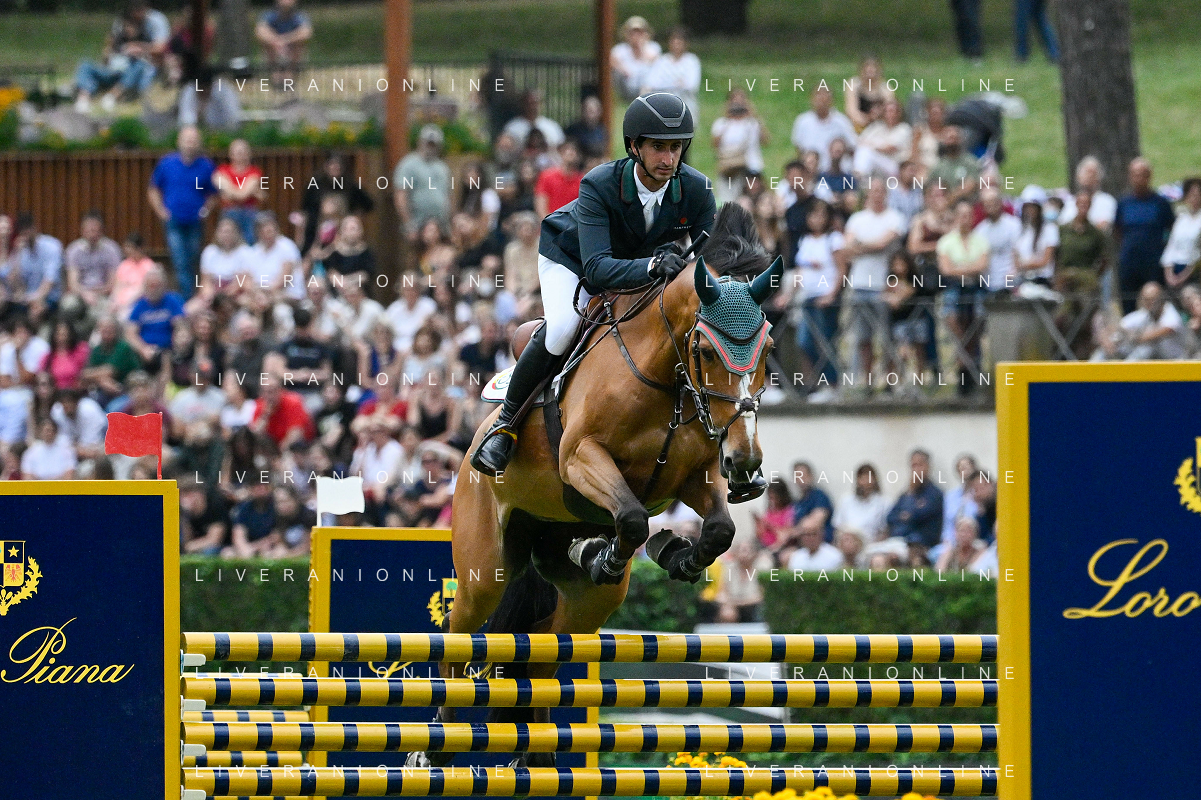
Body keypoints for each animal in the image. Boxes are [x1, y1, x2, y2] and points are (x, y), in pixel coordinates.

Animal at [408, 202, 785, 769]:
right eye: (704, 349)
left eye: (767, 348)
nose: (745, 461)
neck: (665, 374)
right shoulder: (581, 458)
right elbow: (630, 516)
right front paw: (615, 550)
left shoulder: (690, 477)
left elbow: (718, 529)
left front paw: (675, 554)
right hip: (484, 570)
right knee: (460, 638)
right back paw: (435, 750)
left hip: (587, 603)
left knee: (540, 652)